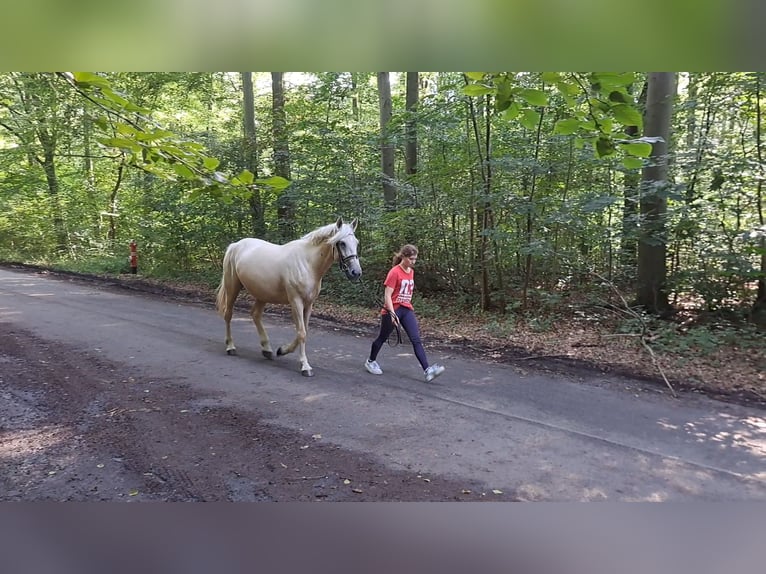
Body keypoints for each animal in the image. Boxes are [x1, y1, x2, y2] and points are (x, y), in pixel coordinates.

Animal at [214, 217, 362, 378]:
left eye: (356, 242)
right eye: (342, 243)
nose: (356, 272)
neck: (308, 264)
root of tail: (235, 245)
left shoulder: (308, 304)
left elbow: (303, 331)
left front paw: (282, 350)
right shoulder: (296, 302)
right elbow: (302, 333)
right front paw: (305, 366)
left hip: (262, 294)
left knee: (255, 315)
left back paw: (267, 349)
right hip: (232, 288)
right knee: (228, 314)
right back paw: (230, 347)